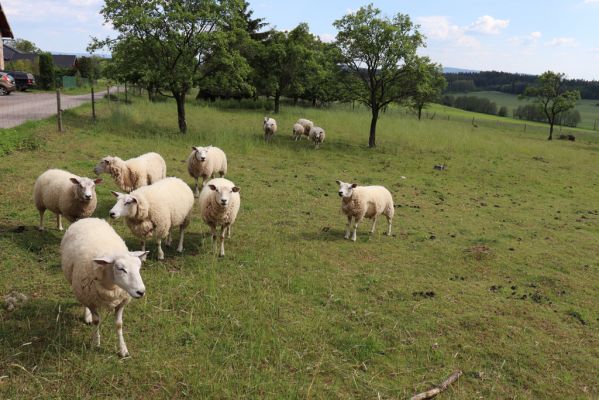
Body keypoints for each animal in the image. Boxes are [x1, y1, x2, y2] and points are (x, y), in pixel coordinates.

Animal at [60, 217, 149, 358]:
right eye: (120, 268)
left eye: (139, 267)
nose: (141, 292)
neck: (111, 286)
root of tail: (88, 218)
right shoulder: (90, 299)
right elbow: (97, 321)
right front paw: (96, 342)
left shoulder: (122, 302)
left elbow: (119, 325)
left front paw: (123, 349)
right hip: (81, 288)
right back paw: (87, 316)